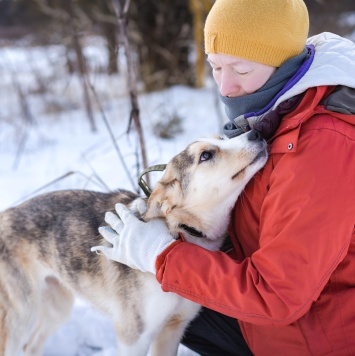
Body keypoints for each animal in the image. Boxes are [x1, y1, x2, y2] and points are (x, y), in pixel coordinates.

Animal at [0, 129, 268, 356]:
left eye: (223, 138)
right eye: (206, 155)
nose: (255, 132)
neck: (179, 233)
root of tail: (6, 214)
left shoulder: (174, 328)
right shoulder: (134, 337)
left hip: (58, 306)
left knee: (31, 346)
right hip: (22, 314)